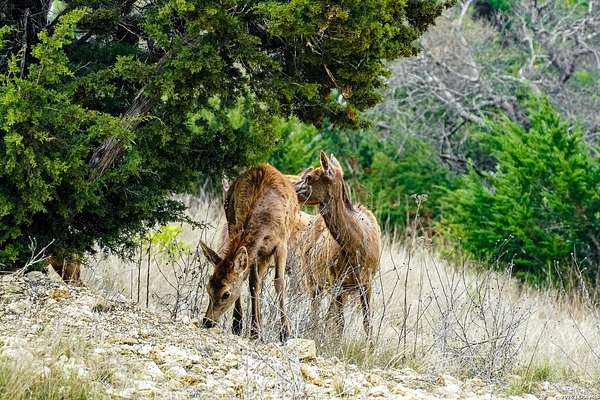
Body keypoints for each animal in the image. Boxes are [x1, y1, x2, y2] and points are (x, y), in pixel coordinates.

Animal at [199, 164, 299, 341]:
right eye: (208, 288)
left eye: (226, 294)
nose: (207, 321)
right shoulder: (251, 245)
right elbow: (253, 282)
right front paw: (253, 330)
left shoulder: (281, 244)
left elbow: (279, 282)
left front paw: (285, 333)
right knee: (253, 279)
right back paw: (241, 324)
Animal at [293, 151, 381, 337]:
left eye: (310, 177)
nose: (289, 187)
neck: (356, 247)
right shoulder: (337, 280)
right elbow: (340, 323)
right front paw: (335, 343)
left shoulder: (367, 281)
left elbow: (367, 323)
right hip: (311, 276)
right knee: (316, 310)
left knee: (326, 314)